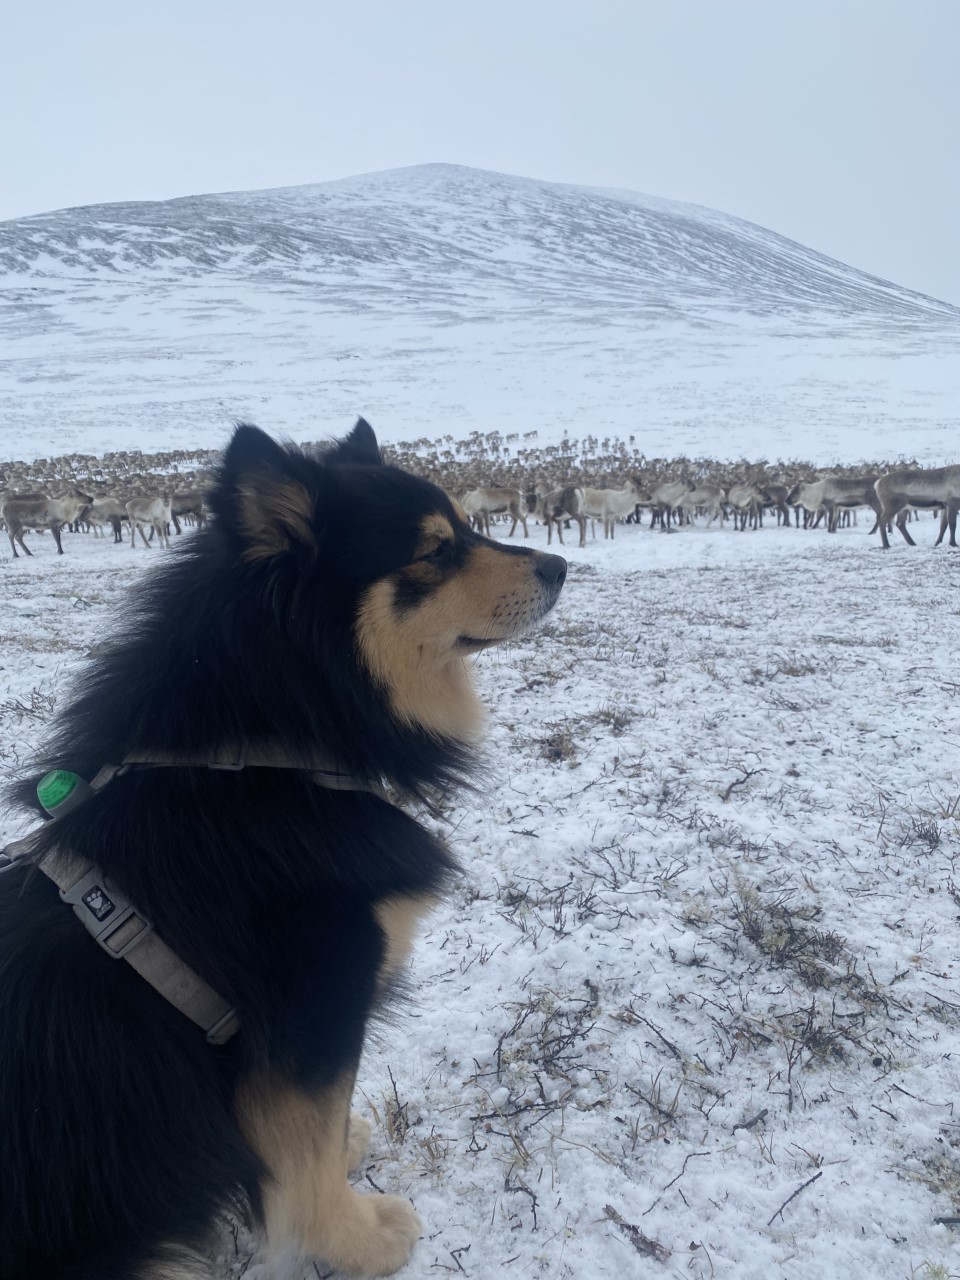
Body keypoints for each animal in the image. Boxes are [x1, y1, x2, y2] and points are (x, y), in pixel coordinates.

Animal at [0, 414, 568, 1274]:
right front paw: (359, 1240)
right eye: (435, 550)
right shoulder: (312, 1014)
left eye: (465, 526)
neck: (269, 755)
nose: (562, 564)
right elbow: (305, 1155)